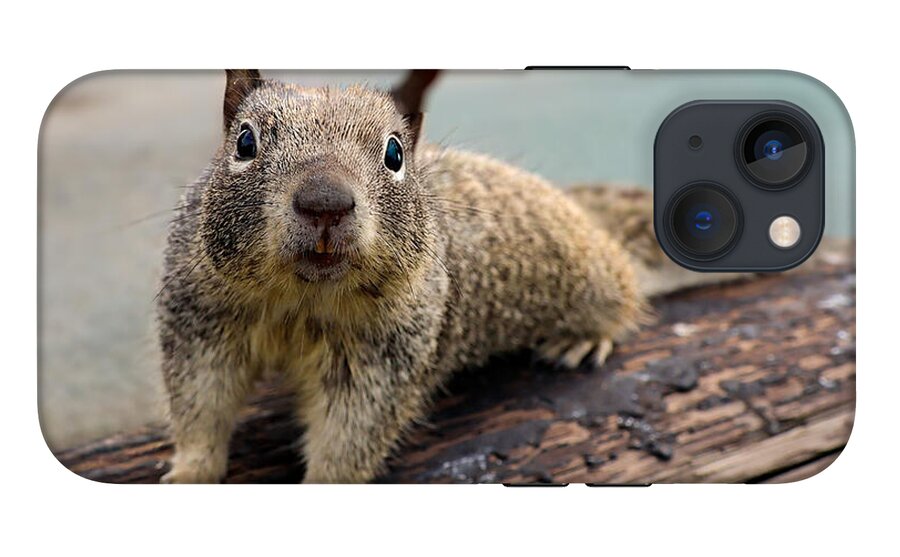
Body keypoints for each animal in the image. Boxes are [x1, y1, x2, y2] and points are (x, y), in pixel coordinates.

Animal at [157, 70, 716, 483]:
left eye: (394, 153)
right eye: (244, 141)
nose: (325, 202)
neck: (303, 299)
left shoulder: (384, 357)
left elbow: (350, 436)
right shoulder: (202, 322)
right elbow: (200, 406)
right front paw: (189, 473)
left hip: (593, 276)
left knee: (623, 295)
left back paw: (583, 337)